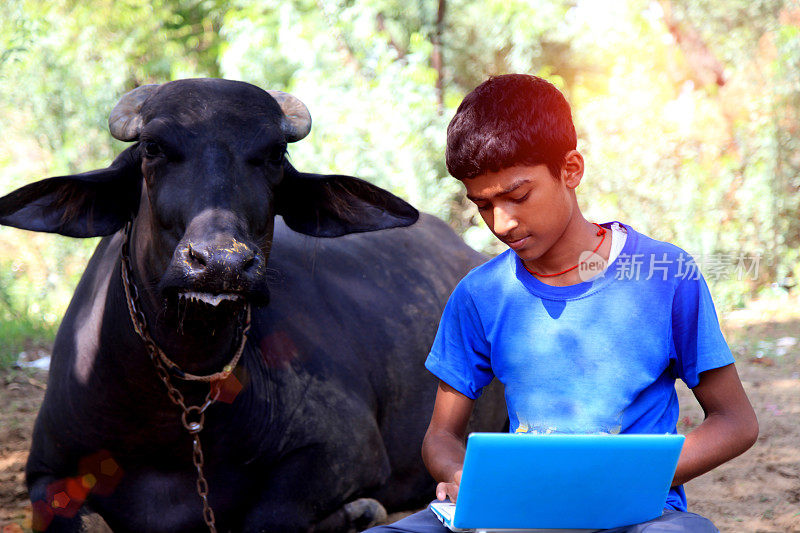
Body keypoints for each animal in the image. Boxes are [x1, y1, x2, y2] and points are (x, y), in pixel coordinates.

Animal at [0, 80, 504, 532]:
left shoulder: (344, 448)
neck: (172, 419)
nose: (221, 263)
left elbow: (266, 518)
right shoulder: (46, 472)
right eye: (152, 147)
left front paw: (358, 510)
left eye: (275, 154)